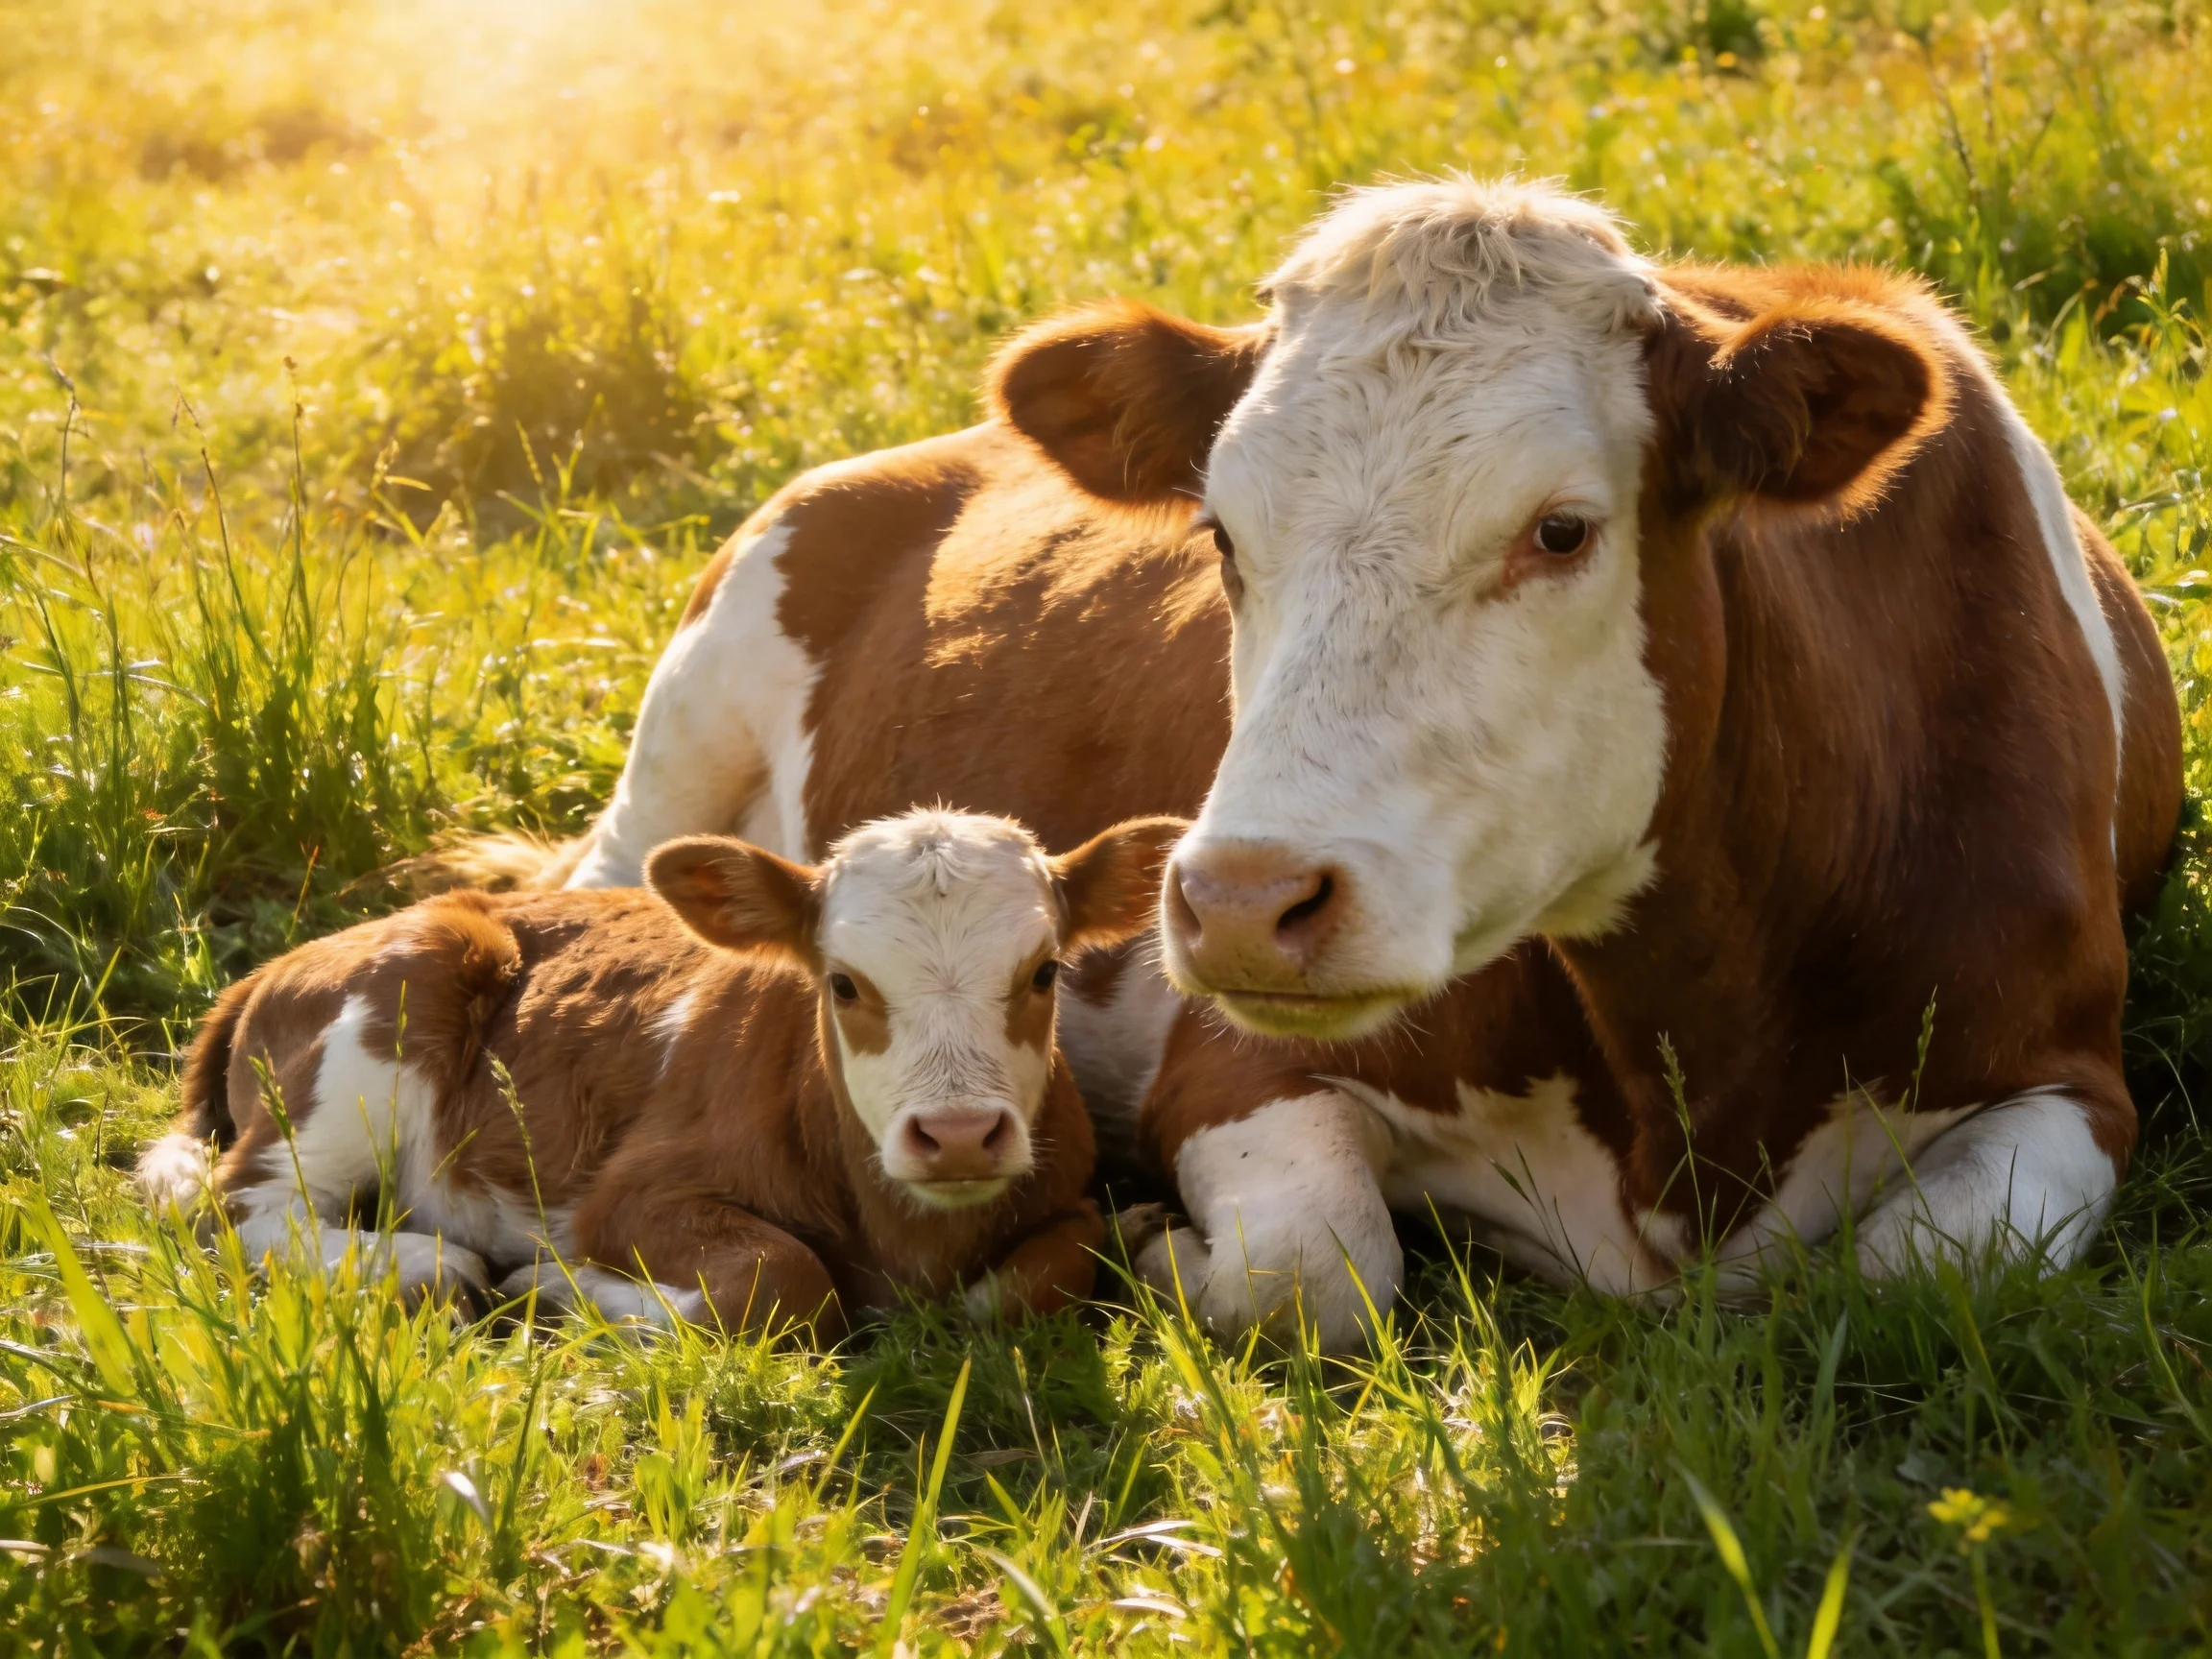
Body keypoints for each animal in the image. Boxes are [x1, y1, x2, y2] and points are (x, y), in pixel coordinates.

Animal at [137, 809, 1188, 1336]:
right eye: (844, 982)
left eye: (1043, 972)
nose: (960, 1134)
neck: (910, 1234)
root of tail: (271, 967)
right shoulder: (631, 1192)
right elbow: (781, 1281)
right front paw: (561, 1288)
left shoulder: (1060, 1188)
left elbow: (1056, 1265)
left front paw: (1134, 1227)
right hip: (389, 1011)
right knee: (238, 1207)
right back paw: (429, 1265)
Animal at [461, 177, 2180, 1347]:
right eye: (1222, 532)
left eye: (1564, 529)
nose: (1237, 902)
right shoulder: (1235, 1064)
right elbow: (1316, 1273)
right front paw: (1156, 1243)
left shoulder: (2072, 1075)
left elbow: (1928, 1270)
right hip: (676, 744)